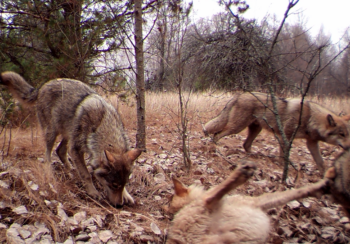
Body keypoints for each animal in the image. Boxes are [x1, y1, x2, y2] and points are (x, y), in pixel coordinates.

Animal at [0, 71, 142, 208]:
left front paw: (127, 196)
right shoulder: (76, 149)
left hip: (68, 134)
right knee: (48, 154)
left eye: (124, 184)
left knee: (60, 151)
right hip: (52, 132)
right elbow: (86, 175)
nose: (119, 205)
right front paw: (93, 192)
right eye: (114, 184)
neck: (103, 125)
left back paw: (71, 171)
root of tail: (43, 86)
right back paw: (50, 171)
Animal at [167, 161, 336, 243]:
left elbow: (293, 193)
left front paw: (321, 186)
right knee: (211, 198)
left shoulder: (258, 202)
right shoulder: (256, 201)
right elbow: (289, 193)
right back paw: (242, 172)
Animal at [204, 92, 350, 174]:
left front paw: (325, 177)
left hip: (255, 129)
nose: (349, 147)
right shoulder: (285, 136)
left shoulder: (311, 143)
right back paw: (216, 149)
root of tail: (240, 94)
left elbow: (321, 162)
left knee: (246, 144)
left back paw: (257, 156)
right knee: (217, 135)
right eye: (342, 134)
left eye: (348, 134)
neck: (310, 117)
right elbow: (283, 155)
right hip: (237, 127)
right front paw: (282, 167)